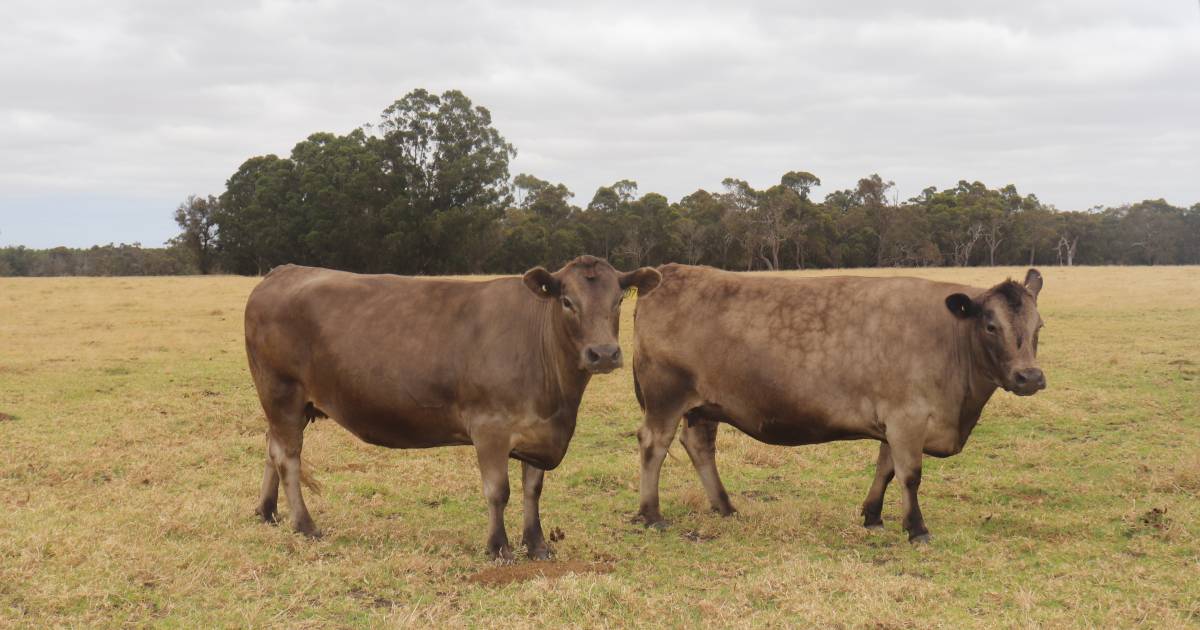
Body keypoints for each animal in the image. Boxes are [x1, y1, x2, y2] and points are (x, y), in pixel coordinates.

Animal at [240, 256, 662, 559]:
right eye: (567, 301)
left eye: (618, 301)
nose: (603, 353)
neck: (558, 399)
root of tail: (283, 271)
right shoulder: (490, 428)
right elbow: (498, 491)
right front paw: (499, 547)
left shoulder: (538, 432)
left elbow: (533, 490)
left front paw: (538, 544)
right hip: (281, 393)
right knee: (288, 457)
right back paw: (304, 524)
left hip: (287, 405)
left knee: (271, 447)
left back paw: (267, 511)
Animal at [633, 264, 1046, 540]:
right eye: (991, 326)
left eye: (1038, 326)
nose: (1029, 377)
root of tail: (671, 272)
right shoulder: (908, 418)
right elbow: (910, 474)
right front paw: (916, 528)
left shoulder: (894, 422)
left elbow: (886, 469)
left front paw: (873, 516)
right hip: (666, 397)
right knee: (654, 444)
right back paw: (651, 514)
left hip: (705, 406)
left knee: (699, 446)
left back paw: (725, 507)